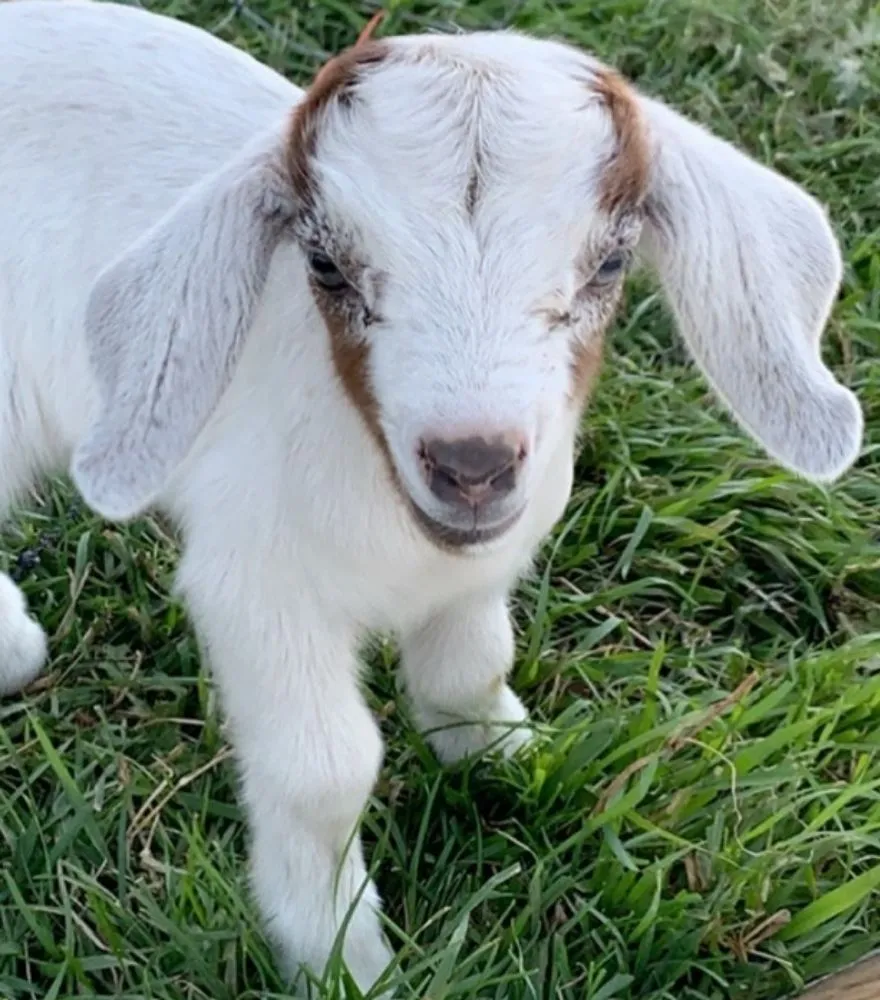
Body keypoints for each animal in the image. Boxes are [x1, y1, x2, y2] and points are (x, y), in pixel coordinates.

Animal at [0, 0, 863, 992]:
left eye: (611, 264)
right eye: (325, 264)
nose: (472, 463)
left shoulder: (481, 563)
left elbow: (473, 661)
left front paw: (506, 755)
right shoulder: (257, 589)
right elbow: (325, 772)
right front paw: (340, 954)